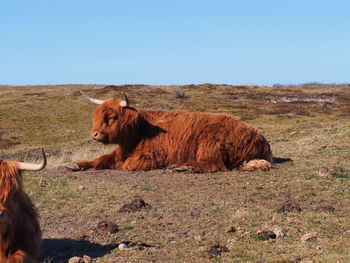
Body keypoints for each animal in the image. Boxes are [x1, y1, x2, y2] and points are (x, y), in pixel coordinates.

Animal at [67, 92, 272, 174]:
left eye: (112, 117)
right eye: (98, 116)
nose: (94, 134)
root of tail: (259, 136)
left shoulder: (151, 156)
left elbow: (127, 165)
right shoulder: (119, 152)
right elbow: (100, 159)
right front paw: (75, 164)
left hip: (209, 142)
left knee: (213, 163)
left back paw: (184, 167)